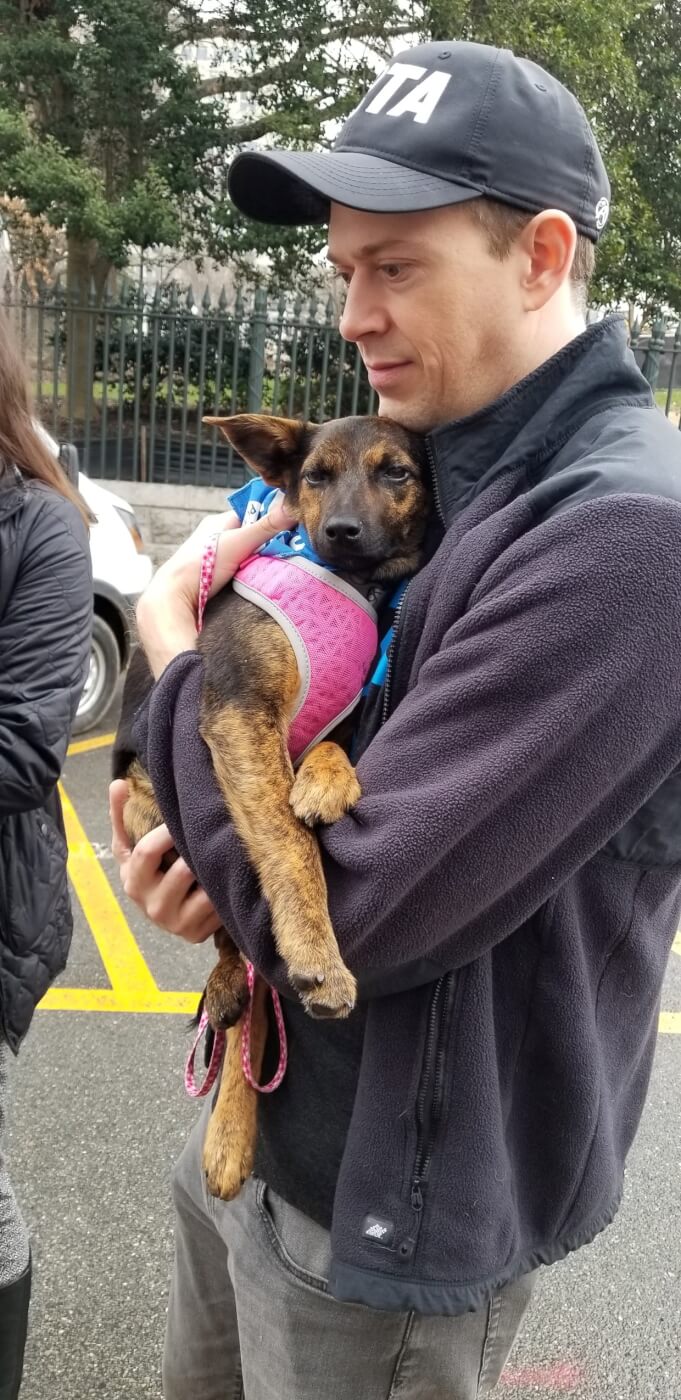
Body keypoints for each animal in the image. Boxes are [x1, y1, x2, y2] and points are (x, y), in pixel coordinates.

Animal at [113, 408, 428, 1198]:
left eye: (396, 472)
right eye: (313, 477)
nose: (341, 530)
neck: (348, 581)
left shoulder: (333, 717)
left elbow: (329, 752)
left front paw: (326, 780)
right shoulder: (238, 714)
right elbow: (289, 846)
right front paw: (318, 953)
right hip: (153, 808)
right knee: (235, 941)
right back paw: (231, 991)